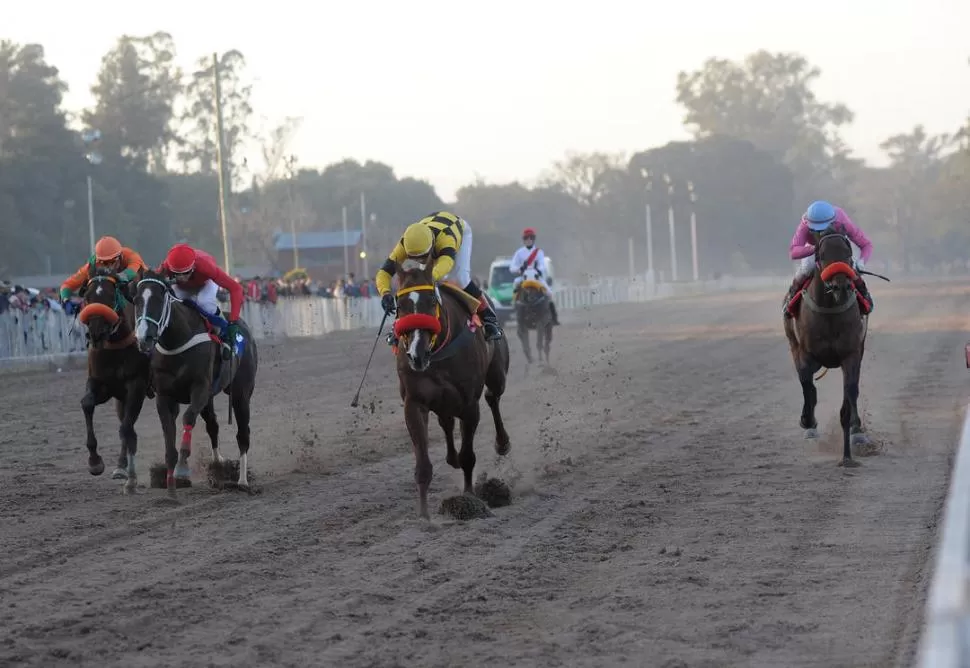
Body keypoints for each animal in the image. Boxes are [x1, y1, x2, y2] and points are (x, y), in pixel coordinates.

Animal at [77, 268, 150, 494]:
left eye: (111, 296)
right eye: (87, 296)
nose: (96, 333)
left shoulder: (137, 385)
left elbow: (127, 428)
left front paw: (132, 481)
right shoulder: (102, 384)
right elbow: (87, 403)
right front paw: (95, 462)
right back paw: (120, 466)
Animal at [130, 268, 258, 496]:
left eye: (159, 299)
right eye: (136, 300)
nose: (144, 338)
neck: (176, 342)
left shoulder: (200, 389)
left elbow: (188, 418)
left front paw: (181, 469)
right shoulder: (165, 395)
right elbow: (168, 431)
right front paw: (170, 481)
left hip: (241, 393)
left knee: (243, 434)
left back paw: (242, 481)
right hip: (210, 399)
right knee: (213, 425)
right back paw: (219, 465)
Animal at [394, 260, 516, 516]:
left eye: (432, 300)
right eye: (399, 305)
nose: (416, 355)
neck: (437, 351)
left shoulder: (469, 404)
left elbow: (468, 455)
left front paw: (469, 498)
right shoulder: (414, 402)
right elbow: (423, 465)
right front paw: (424, 516)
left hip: (497, 375)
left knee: (493, 398)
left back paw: (502, 443)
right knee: (447, 422)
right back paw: (452, 458)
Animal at [780, 232, 868, 468]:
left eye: (847, 253)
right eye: (823, 255)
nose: (841, 287)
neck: (829, 310)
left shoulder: (851, 355)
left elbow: (849, 397)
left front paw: (847, 455)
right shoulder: (805, 356)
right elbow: (808, 389)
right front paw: (808, 423)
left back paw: (857, 431)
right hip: (794, 345)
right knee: (808, 388)